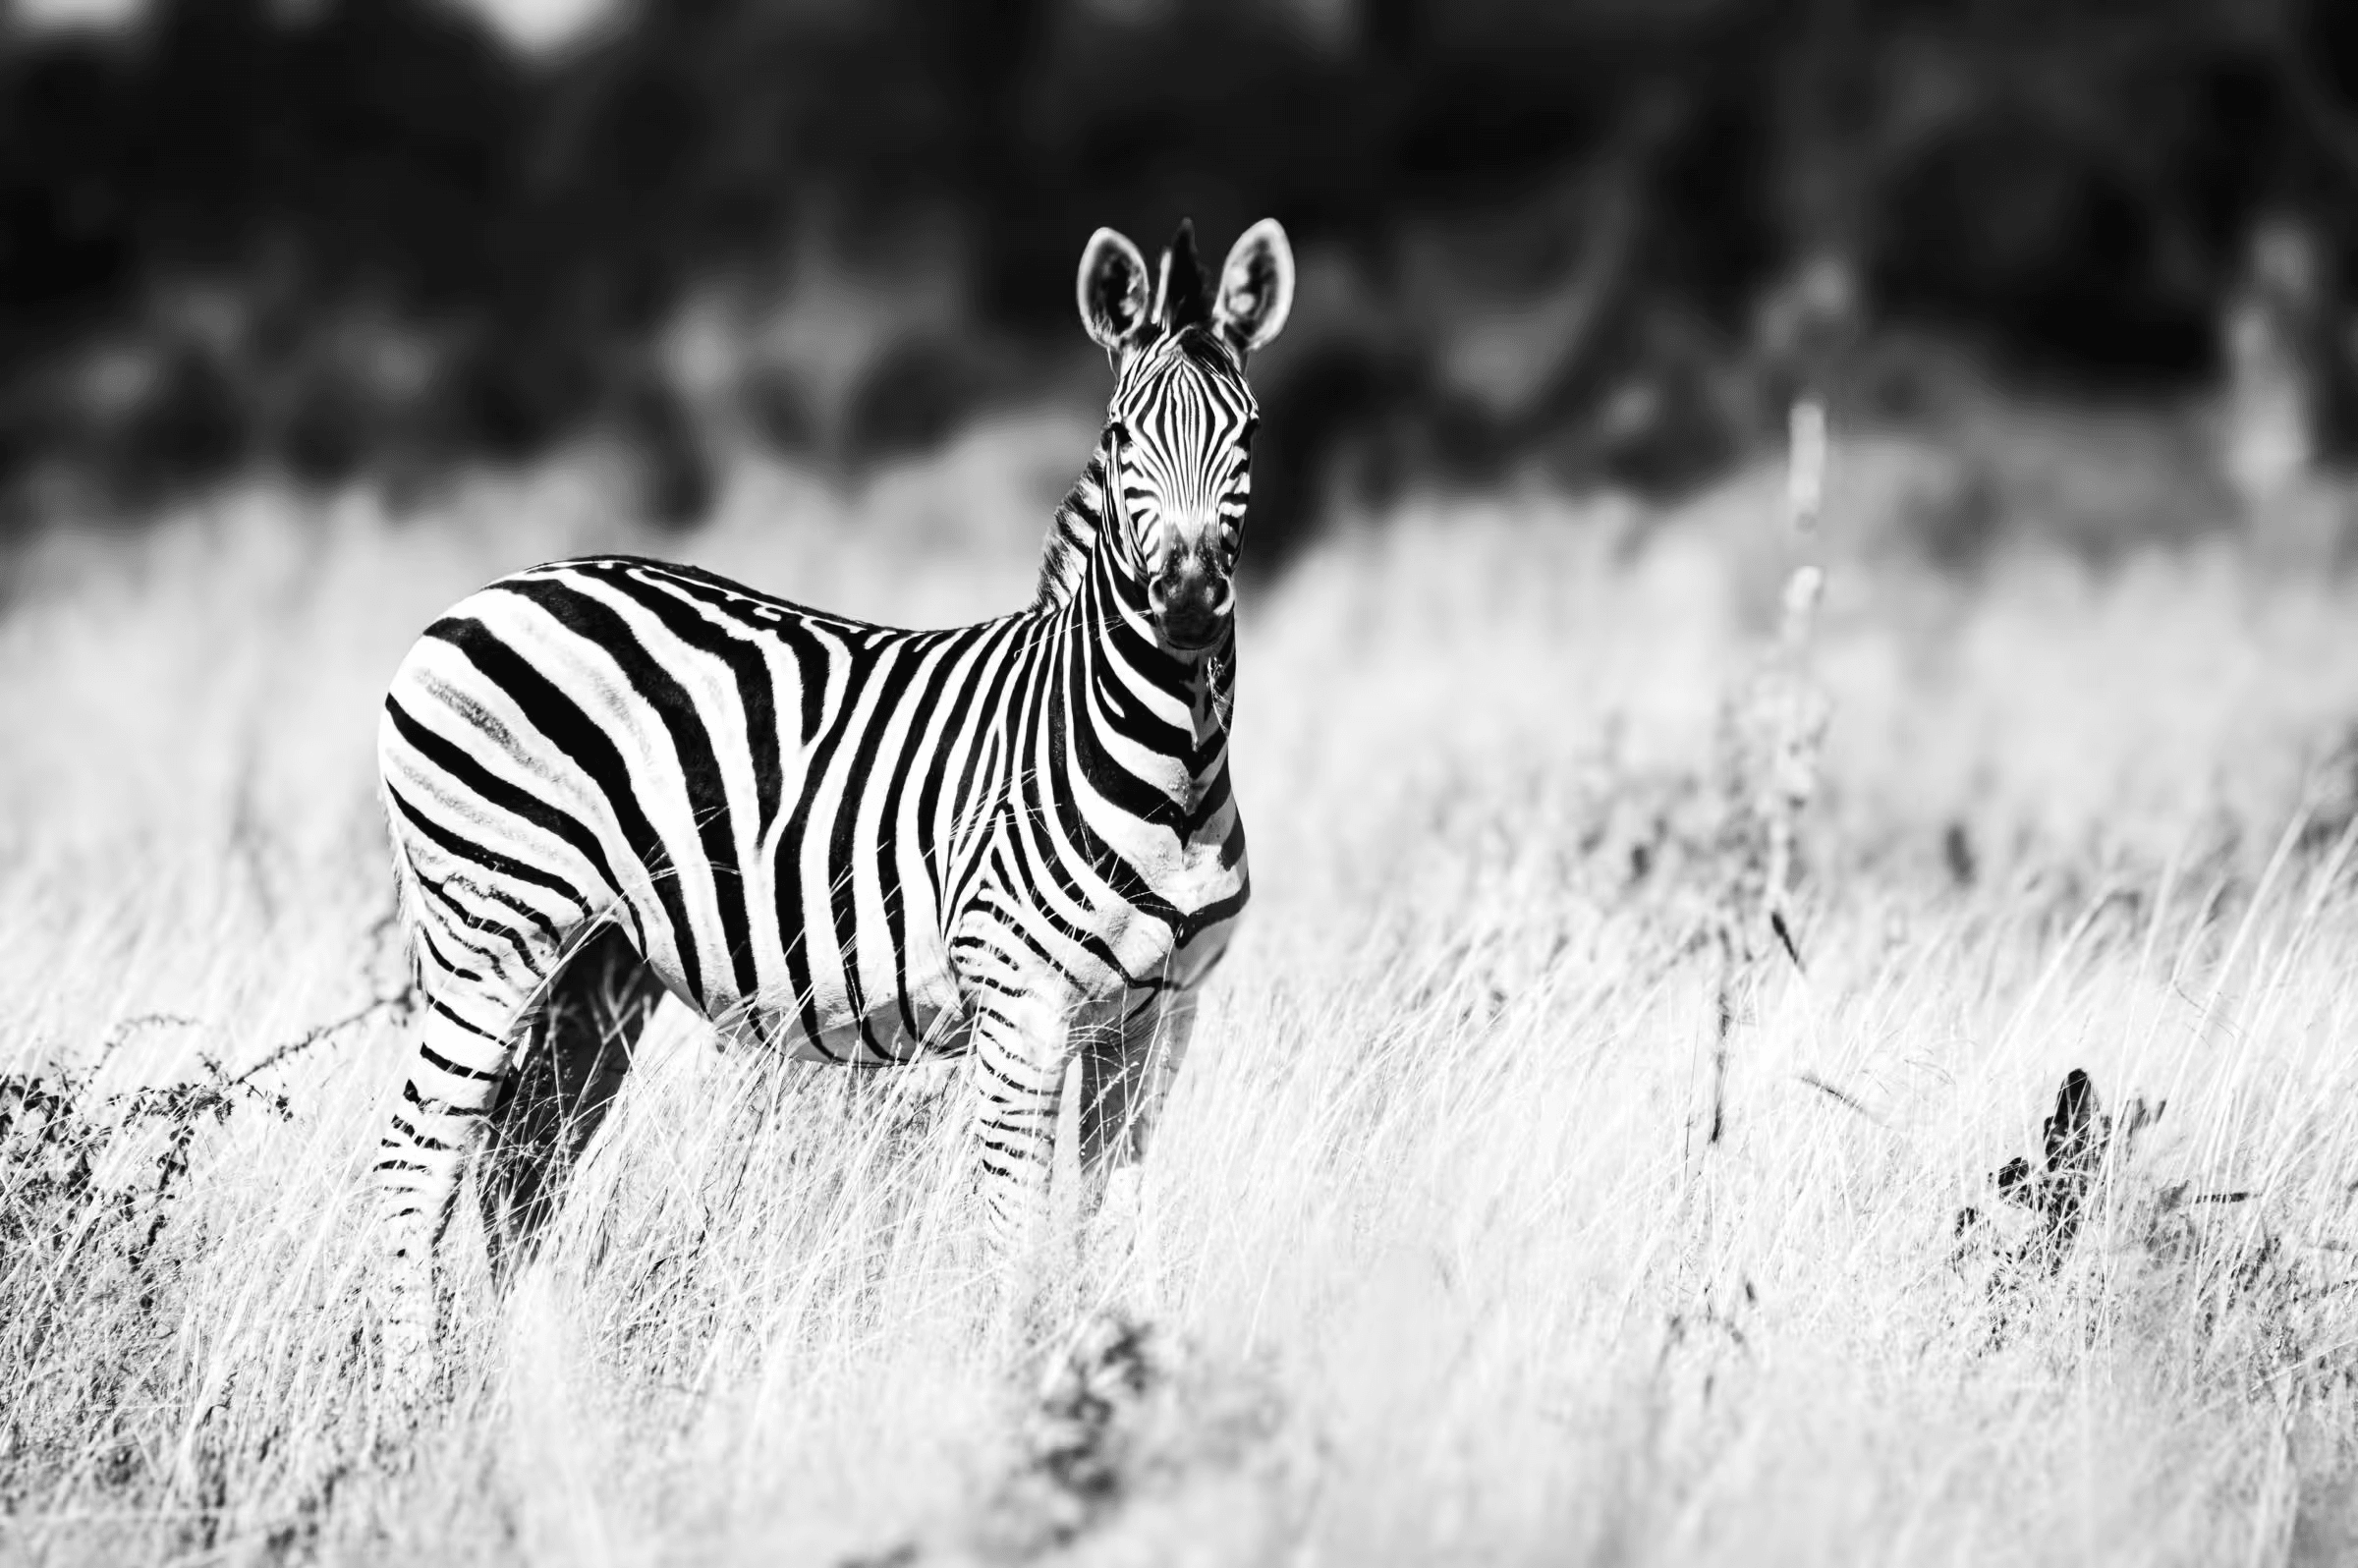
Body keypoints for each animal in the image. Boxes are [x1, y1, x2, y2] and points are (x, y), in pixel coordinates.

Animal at [372, 216, 1292, 1386]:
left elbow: (1112, 1226)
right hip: (487, 933)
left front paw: (1120, 1383)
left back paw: (544, 1399)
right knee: (413, 1165)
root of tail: (480, 598)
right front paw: (1013, 1399)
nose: (1185, 605)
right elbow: (1015, 1233)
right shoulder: (1021, 1005)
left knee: (519, 1177)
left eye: (1249, 432)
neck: (1164, 761)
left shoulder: (1160, 1017)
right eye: (1124, 433)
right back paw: (414, 1400)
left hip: (596, 971)